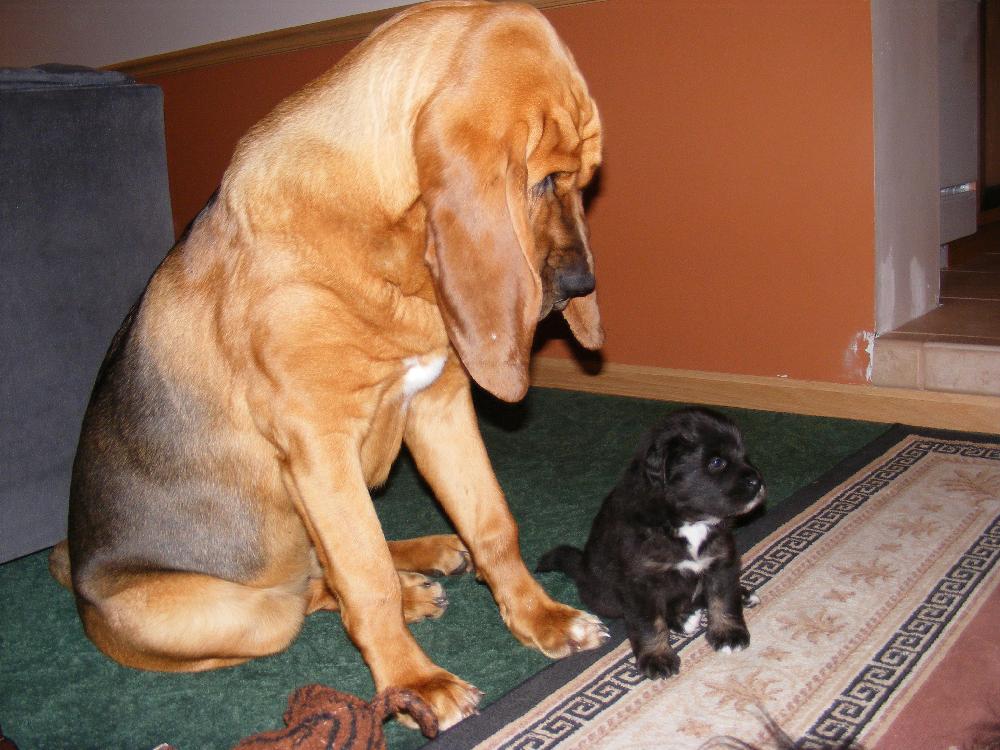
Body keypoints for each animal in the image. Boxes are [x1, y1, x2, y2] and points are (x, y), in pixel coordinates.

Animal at [48, 0, 608, 730]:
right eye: (541, 179)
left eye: (584, 181)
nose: (580, 285)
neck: (385, 244)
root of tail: (75, 573)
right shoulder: (320, 444)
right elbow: (363, 578)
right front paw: (414, 683)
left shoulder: (440, 406)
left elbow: (492, 524)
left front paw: (541, 617)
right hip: (237, 612)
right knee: (308, 592)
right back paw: (408, 592)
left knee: (328, 567)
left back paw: (428, 557)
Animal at [537, 407, 766, 679]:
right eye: (716, 462)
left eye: (744, 454)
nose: (758, 482)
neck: (685, 520)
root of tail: (581, 569)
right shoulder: (641, 584)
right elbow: (649, 624)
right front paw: (657, 658)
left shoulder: (721, 562)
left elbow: (723, 601)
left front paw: (729, 633)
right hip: (606, 598)